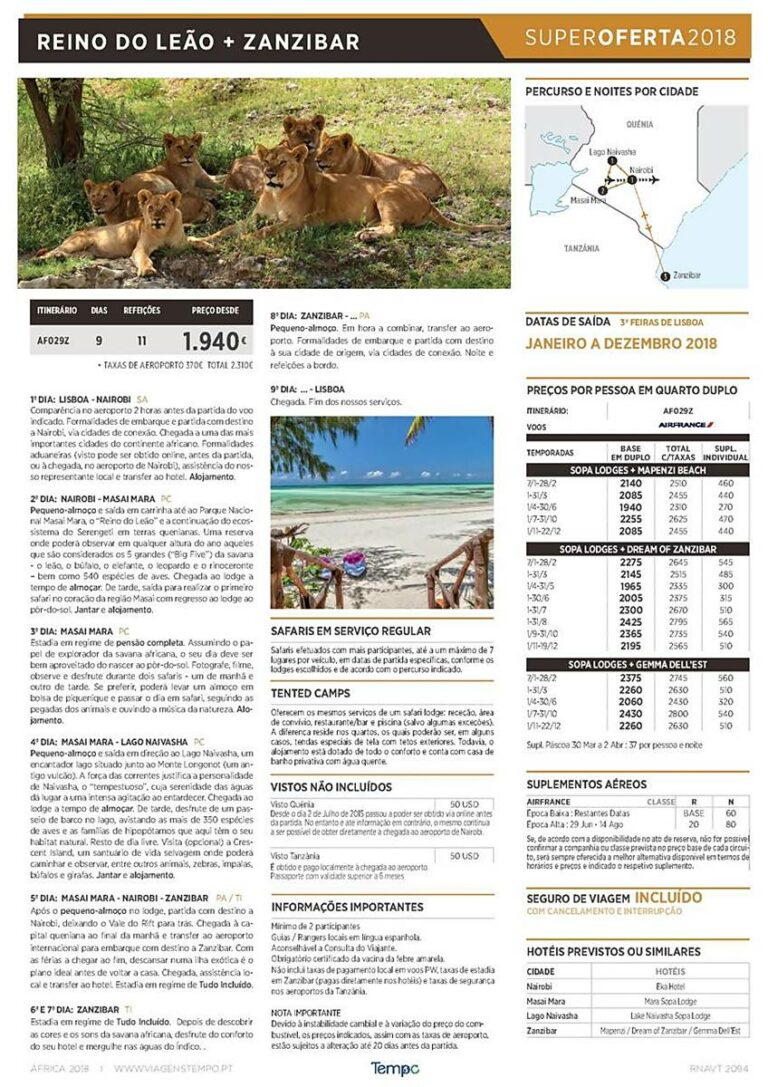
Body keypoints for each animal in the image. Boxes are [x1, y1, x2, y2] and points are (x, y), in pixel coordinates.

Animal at [35, 189, 214, 277]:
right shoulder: (141, 248)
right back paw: (39, 260)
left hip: (87, 254)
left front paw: (207, 246)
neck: (163, 230)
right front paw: (147, 270)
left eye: (164, 208)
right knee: (52, 251)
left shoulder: (179, 243)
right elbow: (143, 258)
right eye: (150, 208)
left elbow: (193, 239)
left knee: (67, 255)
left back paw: (59, 258)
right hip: (78, 241)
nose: (156, 219)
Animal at [200, 144, 508, 244]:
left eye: (283, 162)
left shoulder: (298, 222)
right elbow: (228, 229)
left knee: (394, 229)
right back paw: (366, 231)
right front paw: (201, 240)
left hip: (386, 193)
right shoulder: (254, 217)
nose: (269, 174)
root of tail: (427, 201)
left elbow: (264, 231)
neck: (276, 194)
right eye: (266, 161)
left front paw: (245, 240)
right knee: (388, 226)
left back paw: (366, 236)